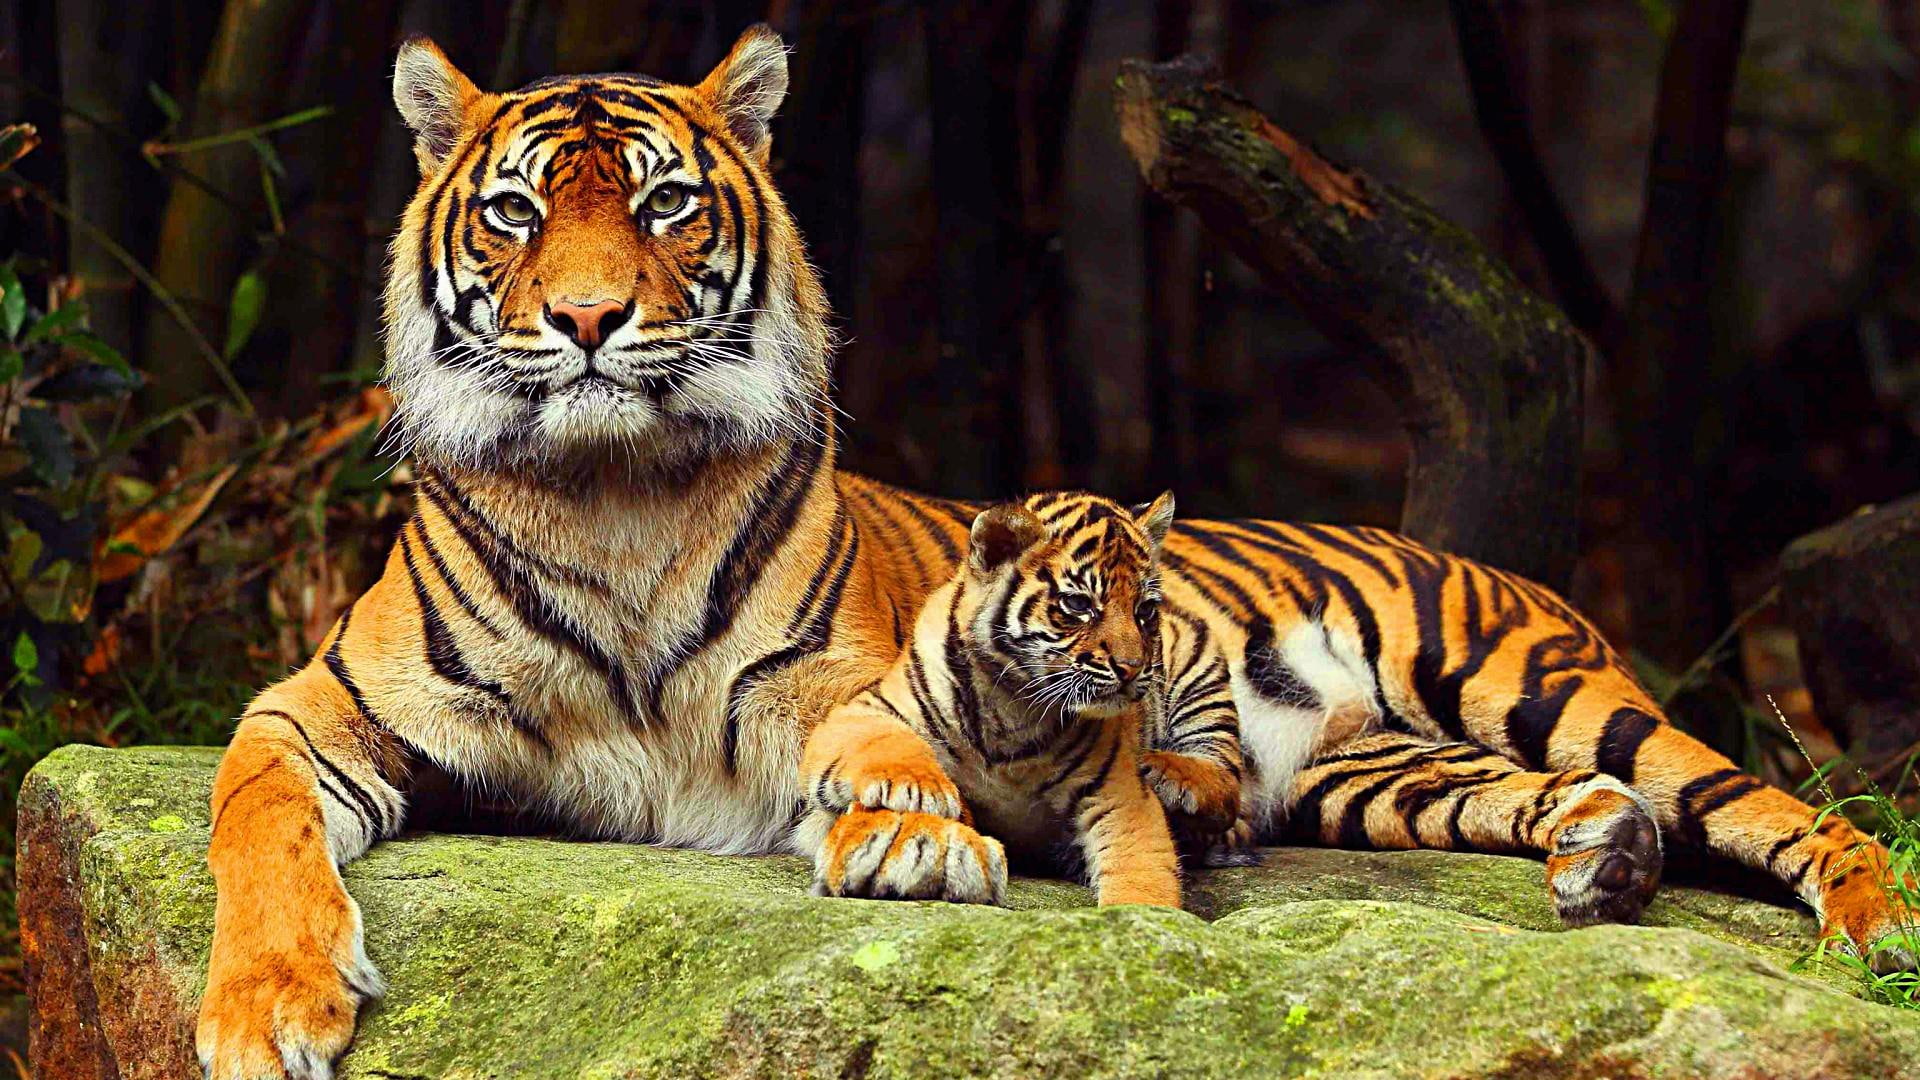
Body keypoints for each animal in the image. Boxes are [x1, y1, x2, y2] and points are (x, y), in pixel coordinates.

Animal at [800, 490, 1237, 909]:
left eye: (1144, 609)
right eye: (1078, 604)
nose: (1131, 668)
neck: (1013, 703)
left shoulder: (1118, 795)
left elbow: (1141, 870)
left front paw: (1143, 919)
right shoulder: (862, 709)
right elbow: (884, 741)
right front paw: (920, 789)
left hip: (1199, 666)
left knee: (1228, 781)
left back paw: (1166, 772)